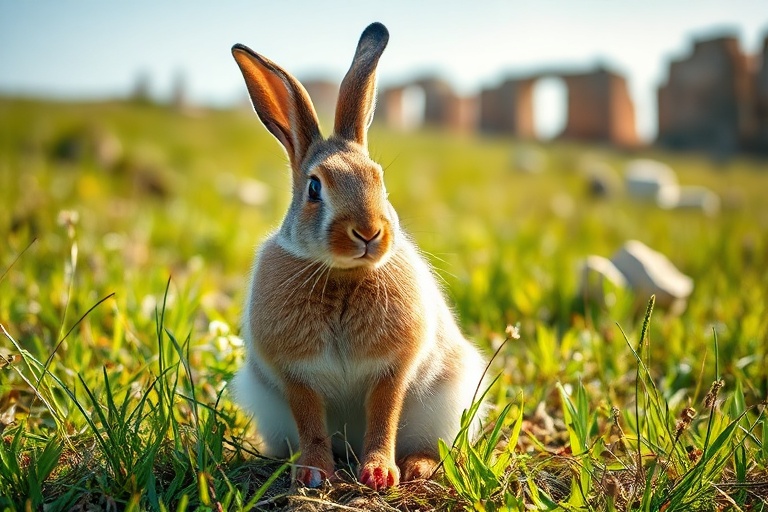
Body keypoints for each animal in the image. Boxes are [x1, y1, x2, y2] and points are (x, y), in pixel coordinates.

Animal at [229, 22, 487, 490]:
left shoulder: (392, 369)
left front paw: (380, 474)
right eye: (314, 188)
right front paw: (313, 474)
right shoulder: (295, 375)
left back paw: (416, 467)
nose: (368, 232)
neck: (340, 274)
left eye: (379, 180)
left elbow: (383, 416)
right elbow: (310, 421)